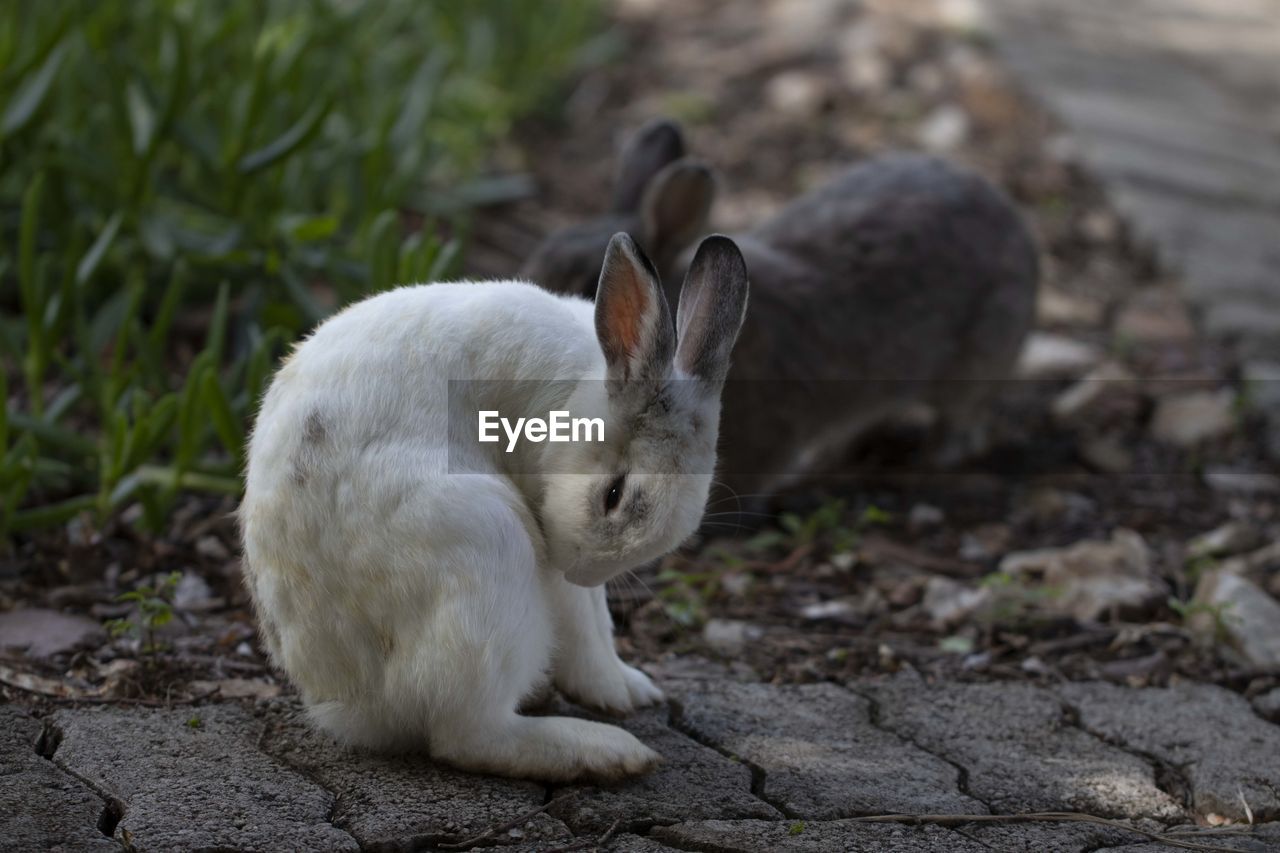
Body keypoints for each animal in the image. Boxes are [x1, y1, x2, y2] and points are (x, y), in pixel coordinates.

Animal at [238, 230, 747, 778]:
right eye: (614, 495)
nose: (581, 571)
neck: (574, 396)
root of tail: (351, 704)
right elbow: (584, 628)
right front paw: (612, 694)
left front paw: (633, 689)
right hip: (490, 551)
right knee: (467, 735)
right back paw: (608, 752)